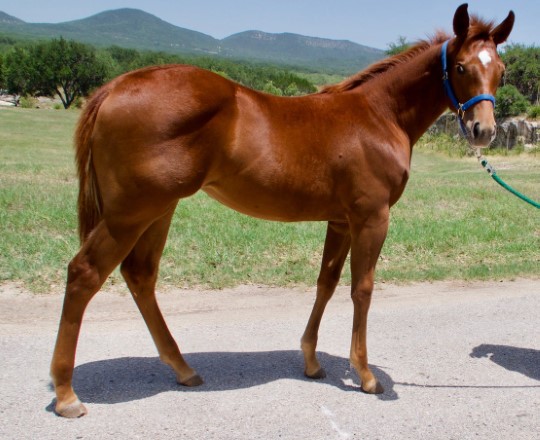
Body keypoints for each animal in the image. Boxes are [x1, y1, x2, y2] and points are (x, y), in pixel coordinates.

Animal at [50, 3, 516, 416]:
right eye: (460, 67)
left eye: (500, 70)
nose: (484, 130)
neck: (379, 116)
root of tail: (116, 87)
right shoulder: (371, 218)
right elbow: (361, 289)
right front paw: (365, 375)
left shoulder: (340, 221)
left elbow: (326, 283)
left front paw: (311, 361)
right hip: (131, 212)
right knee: (85, 273)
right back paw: (67, 394)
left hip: (158, 210)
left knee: (140, 275)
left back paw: (182, 369)